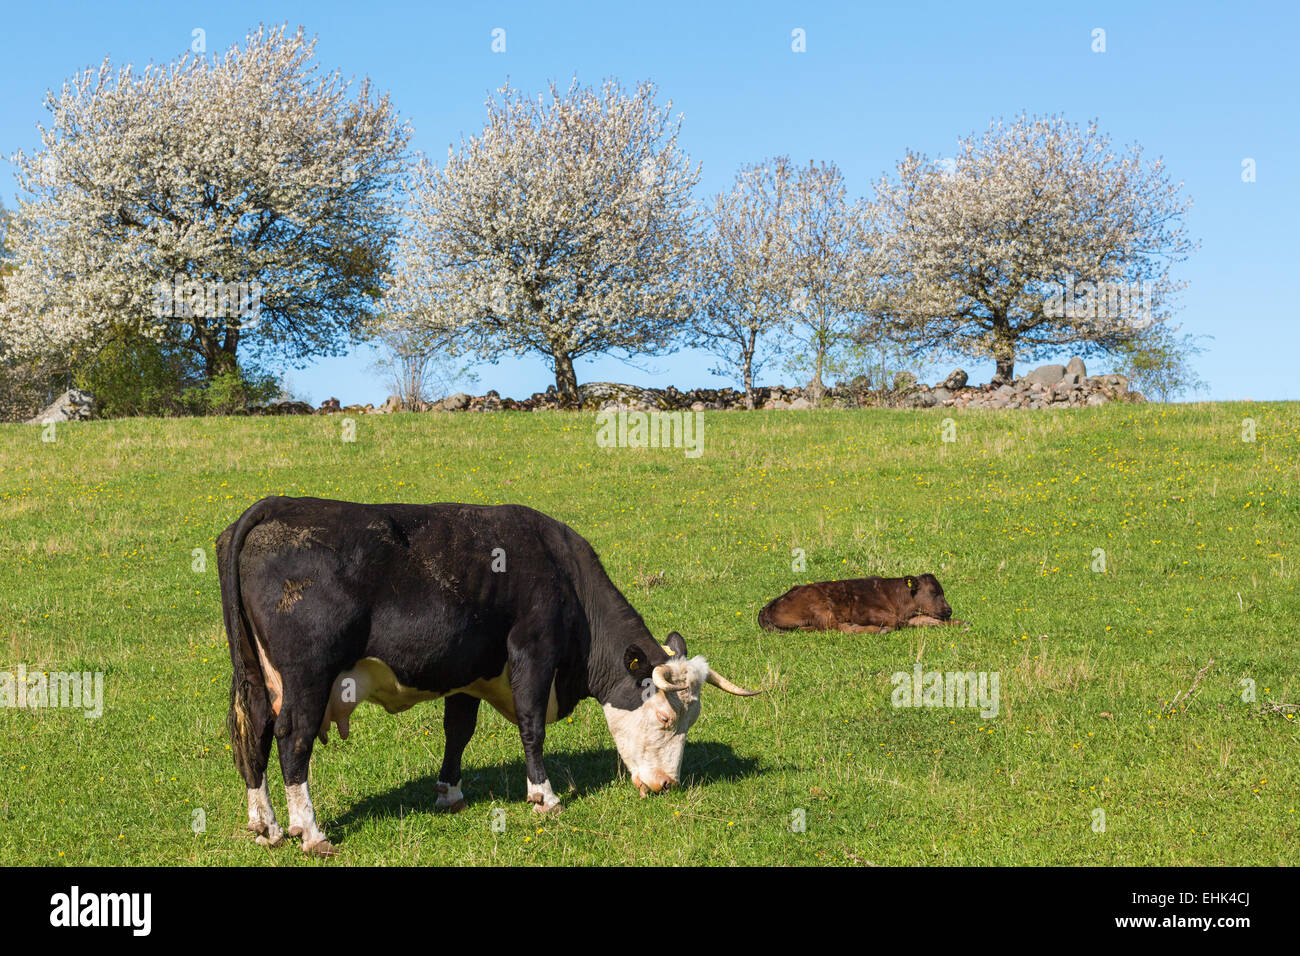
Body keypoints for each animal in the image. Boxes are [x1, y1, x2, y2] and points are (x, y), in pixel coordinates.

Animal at [218, 495, 759, 856]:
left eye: (691, 721)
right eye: (666, 719)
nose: (666, 786)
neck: (565, 579)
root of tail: (277, 505)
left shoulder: (467, 674)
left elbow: (458, 731)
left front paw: (450, 794)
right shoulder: (532, 656)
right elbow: (532, 728)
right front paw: (544, 796)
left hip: (258, 678)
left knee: (254, 736)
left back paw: (265, 825)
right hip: (308, 677)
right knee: (292, 740)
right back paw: (310, 833)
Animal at [757, 574, 967, 633]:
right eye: (933, 592)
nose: (949, 610)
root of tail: (766, 608)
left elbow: (926, 619)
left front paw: (961, 623)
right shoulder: (863, 611)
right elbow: (894, 621)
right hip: (819, 606)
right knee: (838, 628)